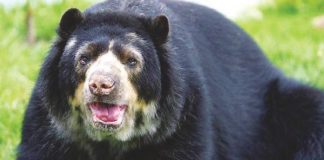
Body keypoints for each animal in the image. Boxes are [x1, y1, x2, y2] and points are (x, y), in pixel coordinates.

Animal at [17, 0, 324, 159]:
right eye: (84, 58)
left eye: (131, 61)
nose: (102, 85)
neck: (109, 141)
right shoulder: (49, 124)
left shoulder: (184, 119)